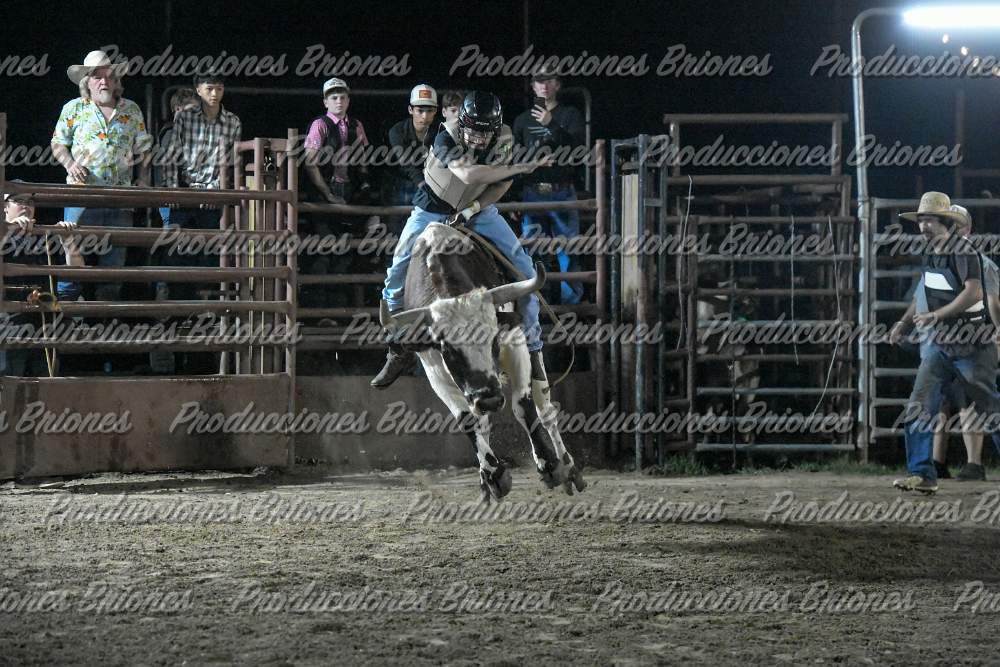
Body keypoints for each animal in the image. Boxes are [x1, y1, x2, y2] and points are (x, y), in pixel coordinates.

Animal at [379, 222, 587, 503]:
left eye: (493, 339)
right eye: (448, 348)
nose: (489, 400)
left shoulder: (514, 342)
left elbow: (522, 405)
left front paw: (548, 465)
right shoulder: (435, 369)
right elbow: (468, 421)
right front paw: (494, 474)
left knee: (545, 412)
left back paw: (568, 469)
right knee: (484, 423)